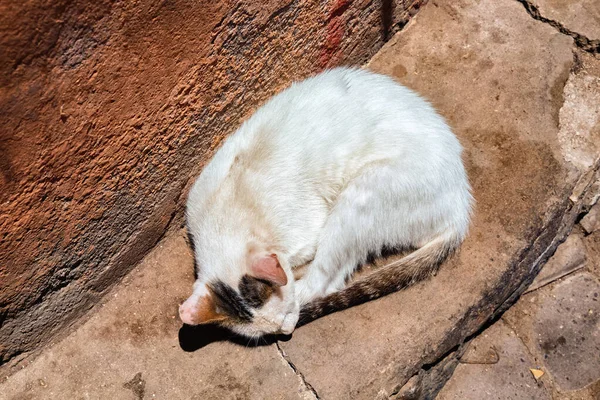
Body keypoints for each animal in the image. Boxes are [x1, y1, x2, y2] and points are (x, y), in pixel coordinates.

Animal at [178, 67, 474, 340]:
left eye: (288, 311)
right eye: (271, 331)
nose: (287, 331)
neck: (226, 211)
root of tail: (458, 210)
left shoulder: (307, 230)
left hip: (359, 197)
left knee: (325, 281)